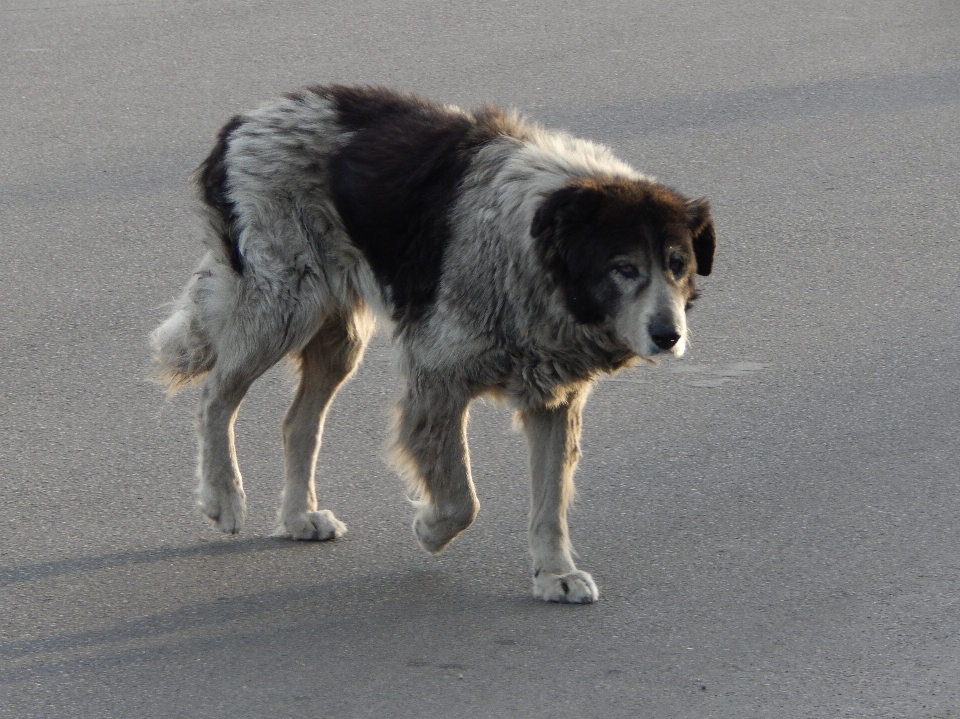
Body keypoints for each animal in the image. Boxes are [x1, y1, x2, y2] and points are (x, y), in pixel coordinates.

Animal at [152, 84, 712, 604]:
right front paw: (430, 530)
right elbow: (462, 498)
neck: (536, 249)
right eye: (624, 268)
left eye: (677, 265)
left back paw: (298, 518)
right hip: (284, 307)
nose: (669, 336)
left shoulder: (553, 399)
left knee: (297, 425)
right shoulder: (436, 379)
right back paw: (223, 497)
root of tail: (247, 119)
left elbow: (551, 503)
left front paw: (555, 575)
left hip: (339, 337)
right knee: (216, 397)